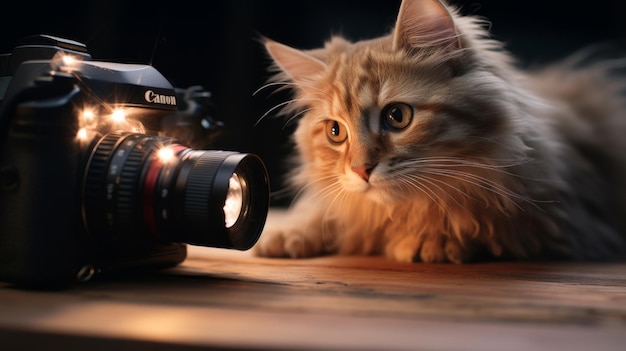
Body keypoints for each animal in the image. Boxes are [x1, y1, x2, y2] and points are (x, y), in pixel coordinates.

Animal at [251, 0, 624, 264]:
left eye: (397, 116)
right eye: (334, 132)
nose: (360, 170)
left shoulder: (563, 220)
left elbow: (477, 218)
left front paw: (434, 239)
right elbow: (329, 211)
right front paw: (289, 233)